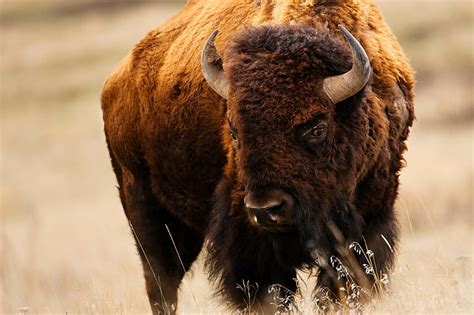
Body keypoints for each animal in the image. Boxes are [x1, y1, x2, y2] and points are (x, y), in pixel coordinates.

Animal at [101, 0, 414, 314]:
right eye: (234, 131)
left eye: (317, 127)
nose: (265, 209)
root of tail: (115, 82)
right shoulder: (248, 239)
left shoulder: (372, 216)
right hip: (145, 209)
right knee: (161, 282)